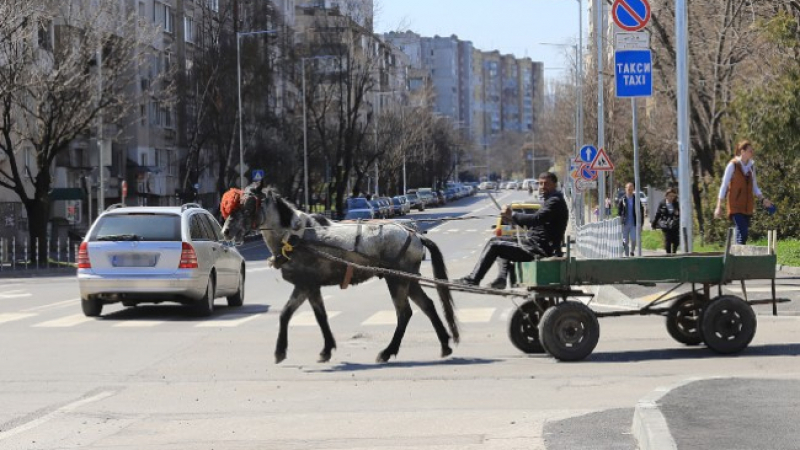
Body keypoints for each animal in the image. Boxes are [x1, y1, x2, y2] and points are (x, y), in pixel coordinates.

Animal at [219, 181, 460, 364]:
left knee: (404, 313)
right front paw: (327, 349)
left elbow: (287, 313)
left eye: (248, 206)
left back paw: (387, 352)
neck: (295, 236)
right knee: (427, 305)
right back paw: (445, 345)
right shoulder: (311, 286)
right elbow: (318, 316)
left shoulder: (304, 285)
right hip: (409, 281)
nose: (226, 231)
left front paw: (280, 351)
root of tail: (415, 234)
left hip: (397, 280)